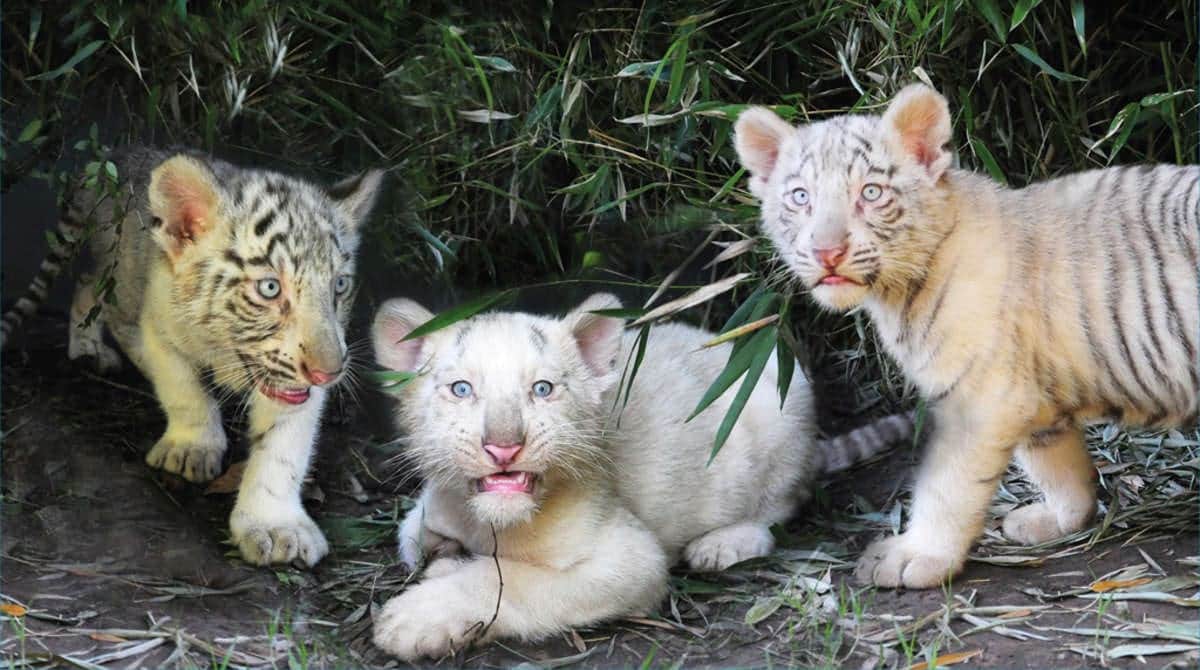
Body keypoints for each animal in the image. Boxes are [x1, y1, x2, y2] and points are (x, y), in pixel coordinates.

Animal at [1, 147, 383, 566]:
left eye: (340, 285)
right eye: (269, 288)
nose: (327, 373)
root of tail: (118, 154)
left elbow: (283, 448)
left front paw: (275, 526)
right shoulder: (161, 326)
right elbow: (185, 392)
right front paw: (192, 449)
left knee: (88, 286)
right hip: (123, 272)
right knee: (97, 292)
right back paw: (88, 347)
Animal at [732, 83, 1199, 589]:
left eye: (871, 193)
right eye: (800, 197)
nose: (826, 252)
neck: (897, 291)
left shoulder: (980, 399)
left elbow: (946, 485)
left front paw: (914, 556)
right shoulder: (1036, 395)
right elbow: (1055, 464)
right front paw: (1059, 519)